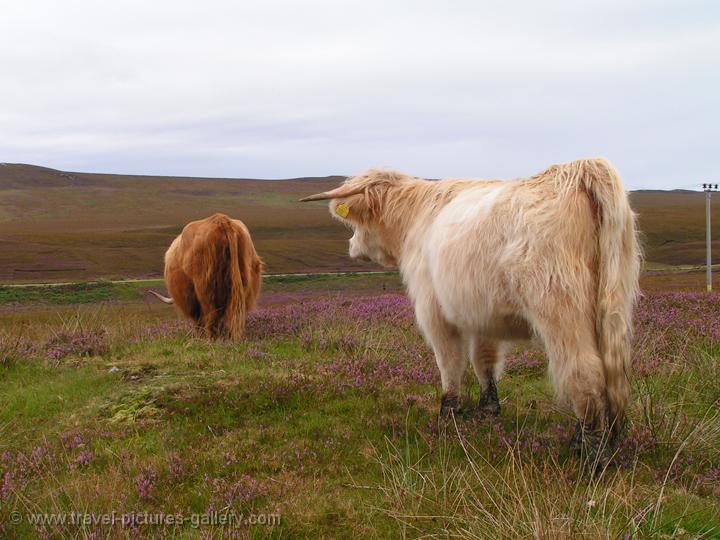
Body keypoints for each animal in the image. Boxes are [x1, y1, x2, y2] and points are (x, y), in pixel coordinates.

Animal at [300, 158, 640, 462]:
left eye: (355, 223)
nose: (350, 246)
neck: (414, 219)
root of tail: (580, 167)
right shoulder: (482, 315)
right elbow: (484, 361)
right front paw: (487, 410)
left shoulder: (434, 310)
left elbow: (449, 362)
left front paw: (448, 413)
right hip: (613, 303)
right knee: (609, 371)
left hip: (561, 309)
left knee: (584, 370)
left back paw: (589, 452)